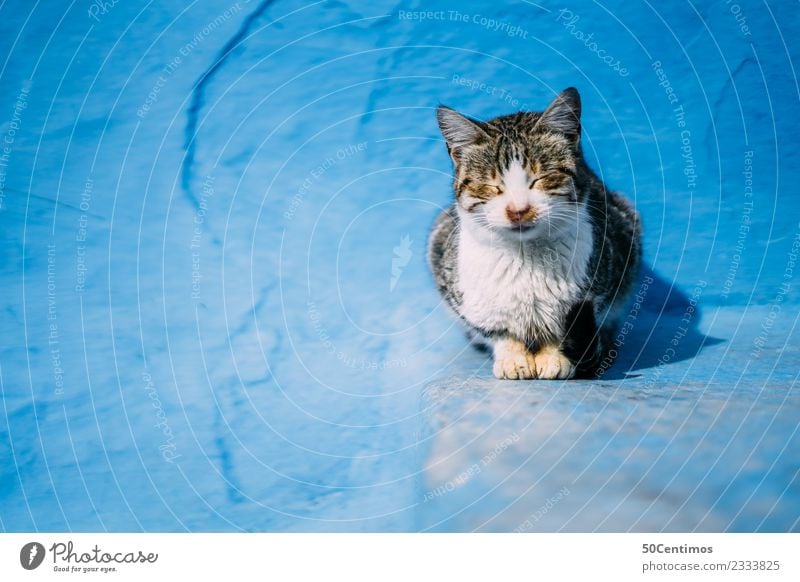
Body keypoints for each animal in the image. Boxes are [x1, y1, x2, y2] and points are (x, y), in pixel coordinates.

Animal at [428, 85, 640, 378]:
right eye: (491, 186)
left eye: (541, 178)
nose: (518, 209)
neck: (525, 257)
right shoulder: (466, 296)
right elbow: (499, 331)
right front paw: (512, 357)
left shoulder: (602, 281)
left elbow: (564, 325)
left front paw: (554, 358)